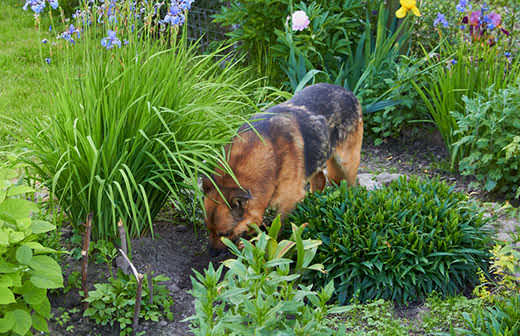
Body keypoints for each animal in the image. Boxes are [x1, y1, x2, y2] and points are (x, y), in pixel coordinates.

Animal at [202, 82, 362, 256]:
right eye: (208, 229)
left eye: (224, 233)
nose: (210, 253)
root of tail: (346, 91)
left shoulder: (289, 200)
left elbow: (278, 228)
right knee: (320, 179)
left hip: (347, 162)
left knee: (352, 184)